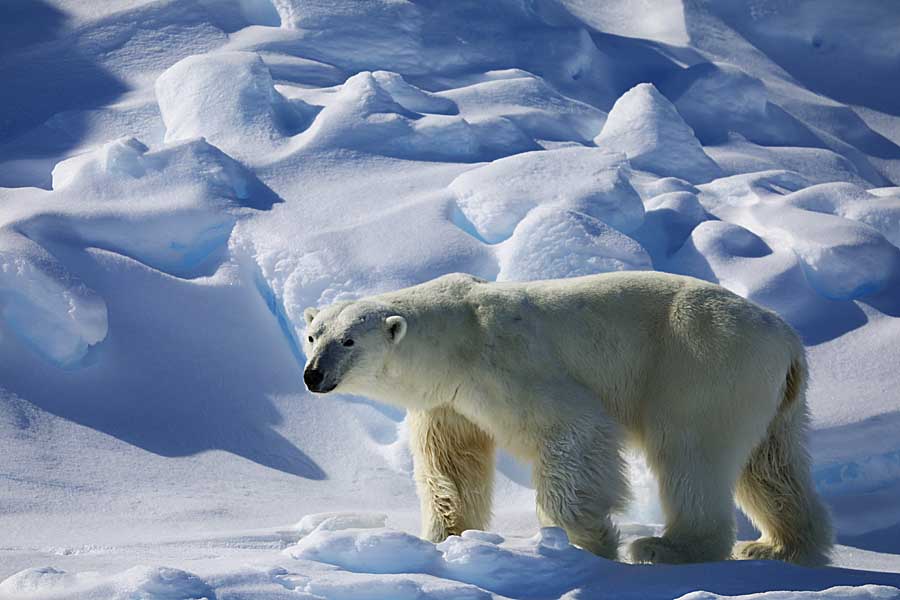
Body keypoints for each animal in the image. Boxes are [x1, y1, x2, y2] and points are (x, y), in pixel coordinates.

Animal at [304, 270, 836, 564]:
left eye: (348, 340)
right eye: (313, 335)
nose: (313, 375)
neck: (458, 335)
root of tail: (789, 340)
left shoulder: (509, 366)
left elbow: (575, 430)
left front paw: (588, 541)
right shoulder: (447, 402)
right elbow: (451, 464)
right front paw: (444, 538)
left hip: (703, 362)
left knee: (690, 452)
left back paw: (667, 548)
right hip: (773, 395)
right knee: (772, 465)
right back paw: (780, 546)